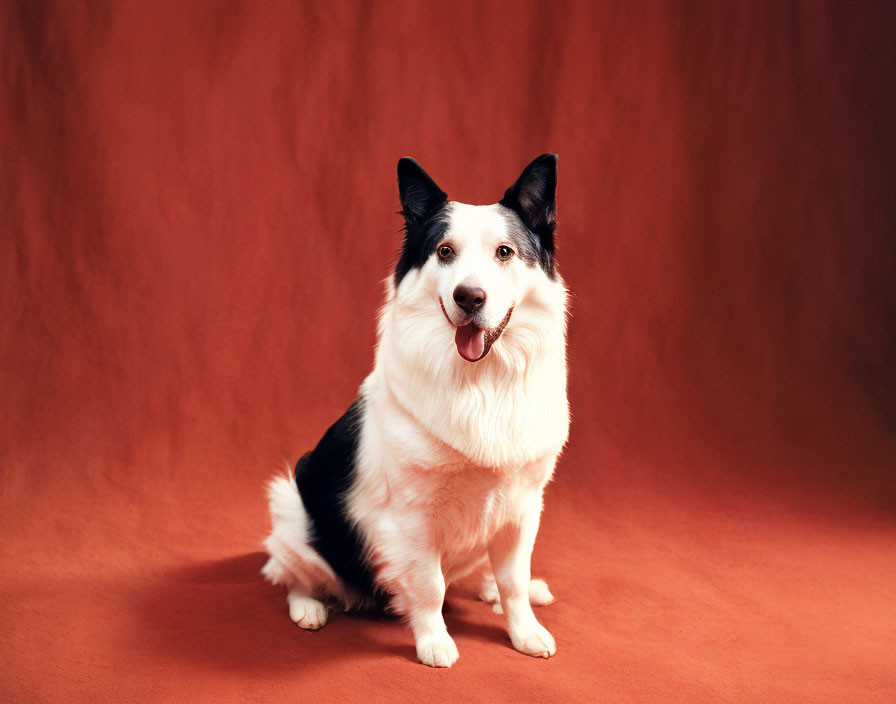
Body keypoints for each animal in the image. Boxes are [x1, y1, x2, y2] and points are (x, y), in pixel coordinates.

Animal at [260, 154, 568, 664]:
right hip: (291, 506)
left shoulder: (524, 505)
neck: (481, 381)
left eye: (505, 252)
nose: (469, 297)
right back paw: (309, 605)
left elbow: (513, 580)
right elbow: (430, 586)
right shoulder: (414, 516)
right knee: (290, 572)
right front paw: (434, 642)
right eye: (444, 251)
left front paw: (523, 629)